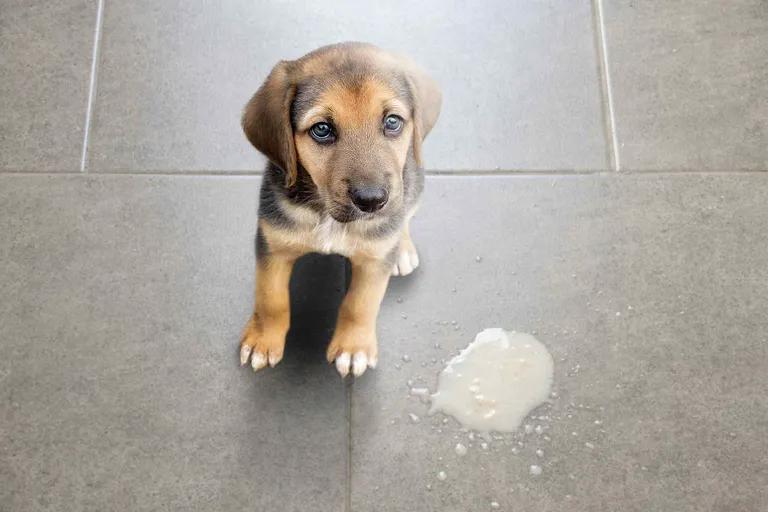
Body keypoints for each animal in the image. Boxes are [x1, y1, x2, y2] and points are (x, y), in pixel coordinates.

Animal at [240, 43, 444, 376]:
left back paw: (402, 249)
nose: (372, 201)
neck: (328, 216)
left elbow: (360, 304)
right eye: (322, 129)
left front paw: (353, 347)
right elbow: (271, 298)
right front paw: (263, 340)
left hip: (413, 187)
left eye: (392, 122)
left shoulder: (374, 262)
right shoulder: (272, 243)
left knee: (404, 218)